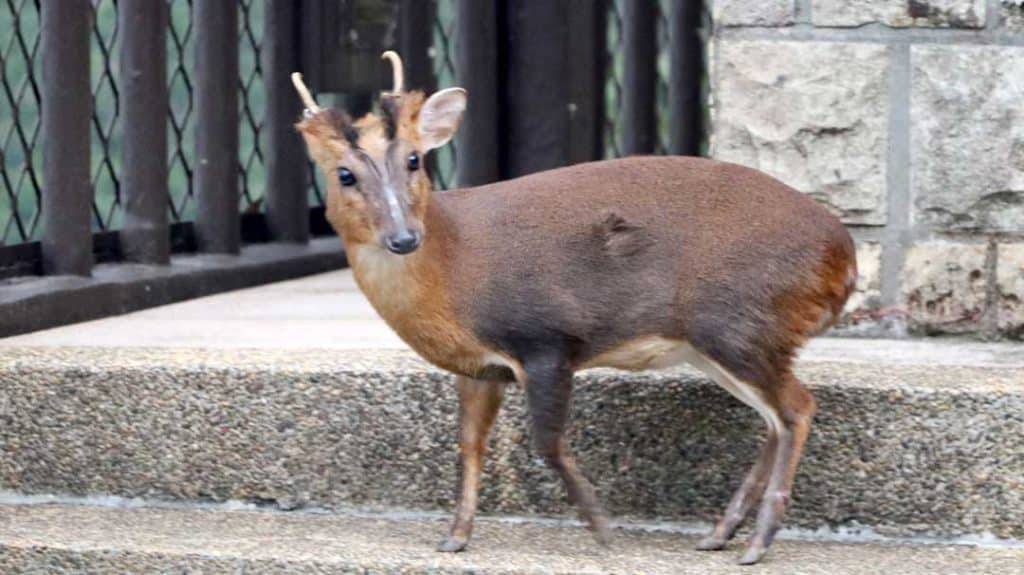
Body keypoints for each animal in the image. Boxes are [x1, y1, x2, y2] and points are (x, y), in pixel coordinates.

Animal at [294, 52, 856, 564]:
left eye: (413, 159)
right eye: (344, 175)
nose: (404, 238)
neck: (452, 268)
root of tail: (845, 257)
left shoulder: (546, 337)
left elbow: (546, 442)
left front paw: (601, 528)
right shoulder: (480, 367)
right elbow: (469, 447)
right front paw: (455, 537)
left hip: (741, 322)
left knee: (797, 408)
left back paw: (757, 543)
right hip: (726, 342)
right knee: (775, 420)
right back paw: (721, 533)